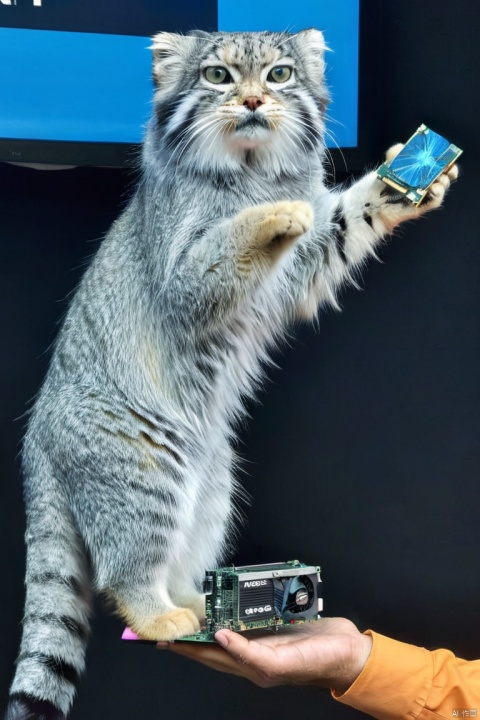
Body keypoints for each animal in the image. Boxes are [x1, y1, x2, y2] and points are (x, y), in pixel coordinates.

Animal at [6, 28, 458, 720]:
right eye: (217, 75)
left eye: (278, 75)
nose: (249, 99)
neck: (248, 169)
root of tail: (37, 446)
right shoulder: (187, 276)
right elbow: (228, 242)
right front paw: (276, 213)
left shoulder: (302, 268)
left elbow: (343, 221)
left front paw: (404, 182)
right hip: (144, 475)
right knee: (123, 572)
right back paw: (159, 615)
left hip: (212, 484)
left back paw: (195, 602)